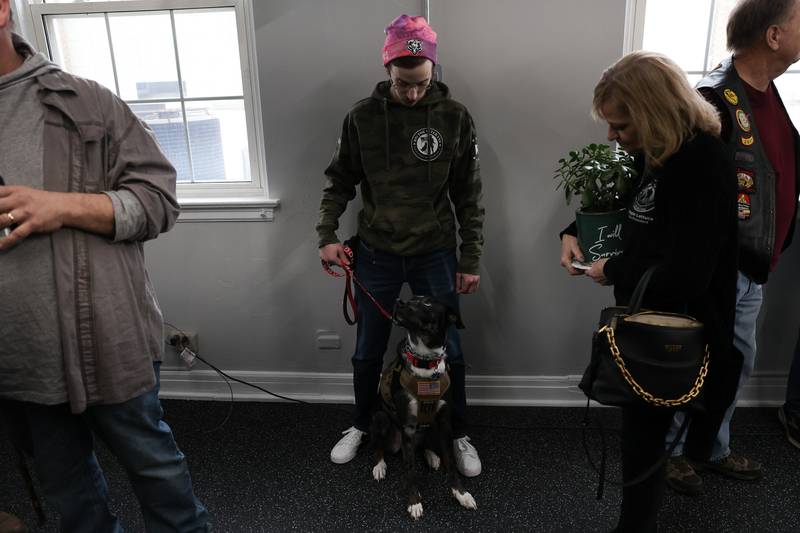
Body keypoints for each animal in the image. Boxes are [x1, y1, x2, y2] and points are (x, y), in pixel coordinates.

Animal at [368, 294, 476, 516]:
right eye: (410, 299)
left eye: (426, 303)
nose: (398, 301)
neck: (425, 361)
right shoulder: (408, 427)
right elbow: (410, 470)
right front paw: (414, 501)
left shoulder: (444, 422)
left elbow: (451, 462)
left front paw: (461, 493)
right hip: (381, 419)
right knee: (380, 447)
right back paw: (379, 465)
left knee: (424, 445)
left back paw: (431, 455)